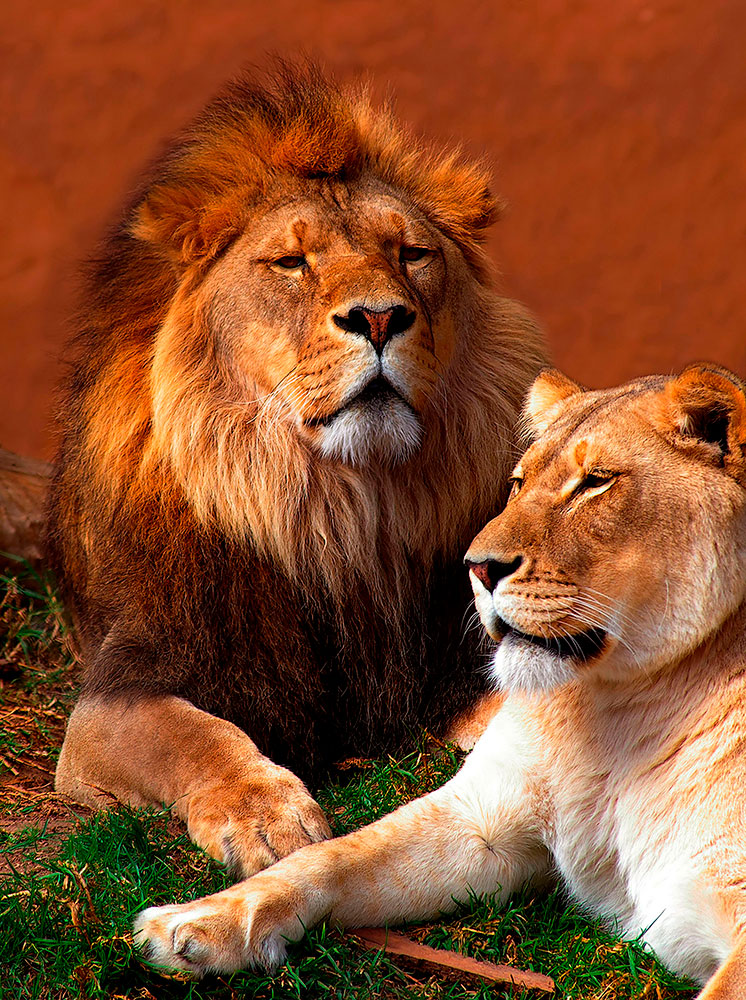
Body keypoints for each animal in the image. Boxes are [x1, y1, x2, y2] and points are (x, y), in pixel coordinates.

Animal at [47, 62, 545, 879]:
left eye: (411, 254)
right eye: (291, 263)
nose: (379, 317)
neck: (336, 511)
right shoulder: (122, 692)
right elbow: (193, 734)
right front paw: (266, 816)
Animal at [134, 363, 746, 998]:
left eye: (596, 483)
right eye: (519, 482)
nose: (477, 568)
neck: (615, 706)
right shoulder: (482, 819)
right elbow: (327, 858)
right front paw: (197, 921)